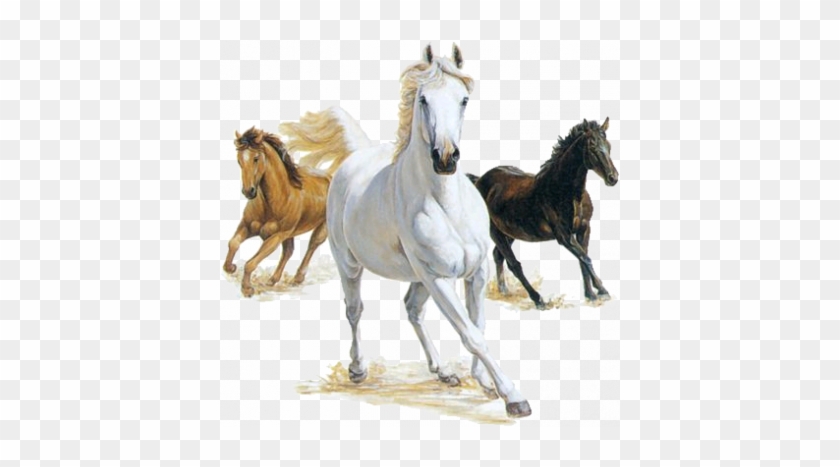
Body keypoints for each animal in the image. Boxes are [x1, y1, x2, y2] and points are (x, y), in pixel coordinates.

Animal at [222, 127, 333, 298]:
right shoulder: (247, 226)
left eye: (256, 158)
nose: (248, 192)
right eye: (239, 160)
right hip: (290, 234)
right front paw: (230, 267)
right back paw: (272, 280)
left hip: (321, 227)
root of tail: (330, 178)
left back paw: (297, 278)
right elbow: (233, 243)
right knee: (288, 251)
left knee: (312, 245)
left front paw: (247, 289)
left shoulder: (276, 236)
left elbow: (250, 263)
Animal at [279, 44, 531, 418]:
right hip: (351, 264)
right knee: (354, 310)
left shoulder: (475, 272)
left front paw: (484, 382)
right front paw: (513, 397)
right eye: (423, 99)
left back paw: (442, 371)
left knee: (412, 309)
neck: (446, 206)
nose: (445, 158)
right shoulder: (438, 278)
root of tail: (356, 158)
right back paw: (358, 369)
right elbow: (471, 334)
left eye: (464, 99)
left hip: (417, 276)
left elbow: (477, 324)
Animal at [467, 118, 618, 309]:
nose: (613, 178)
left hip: (510, 232)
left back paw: (505, 291)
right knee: (513, 264)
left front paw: (591, 295)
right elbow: (586, 258)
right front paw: (602, 291)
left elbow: (583, 259)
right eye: (592, 147)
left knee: (498, 256)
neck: (563, 191)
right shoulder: (564, 236)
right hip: (495, 232)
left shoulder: (584, 229)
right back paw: (538, 299)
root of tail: (478, 180)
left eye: (609, 145)